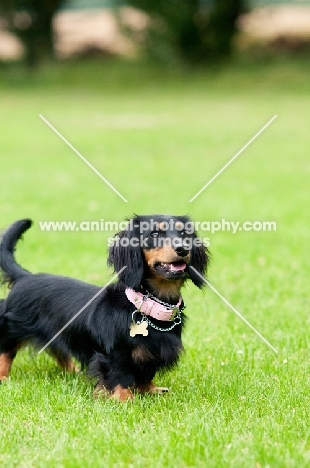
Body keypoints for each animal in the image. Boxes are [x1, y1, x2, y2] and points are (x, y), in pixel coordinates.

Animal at [0, 218, 208, 400]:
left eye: (184, 234)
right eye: (154, 233)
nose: (183, 249)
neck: (147, 307)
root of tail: (25, 277)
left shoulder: (151, 355)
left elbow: (145, 374)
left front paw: (150, 390)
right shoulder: (114, 354)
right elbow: (120, 375)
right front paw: (125, 398)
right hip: (12, 329)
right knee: (6, 353)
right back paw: (3, 377)